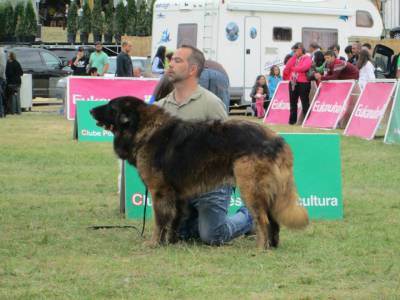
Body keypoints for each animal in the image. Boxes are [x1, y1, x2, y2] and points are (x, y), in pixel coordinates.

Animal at [91, 96, 310, 248]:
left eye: (110, 107)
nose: (91, 109)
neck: (143, 128)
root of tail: (277, 140)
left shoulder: (160, 191)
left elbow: (160, 220)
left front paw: (154, 243)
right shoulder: (177, 195)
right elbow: (174, 220)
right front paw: (171, 242)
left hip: (250, 187)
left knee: (262, 219)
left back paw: (260, 248)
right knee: (273, 219)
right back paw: (271, 246)